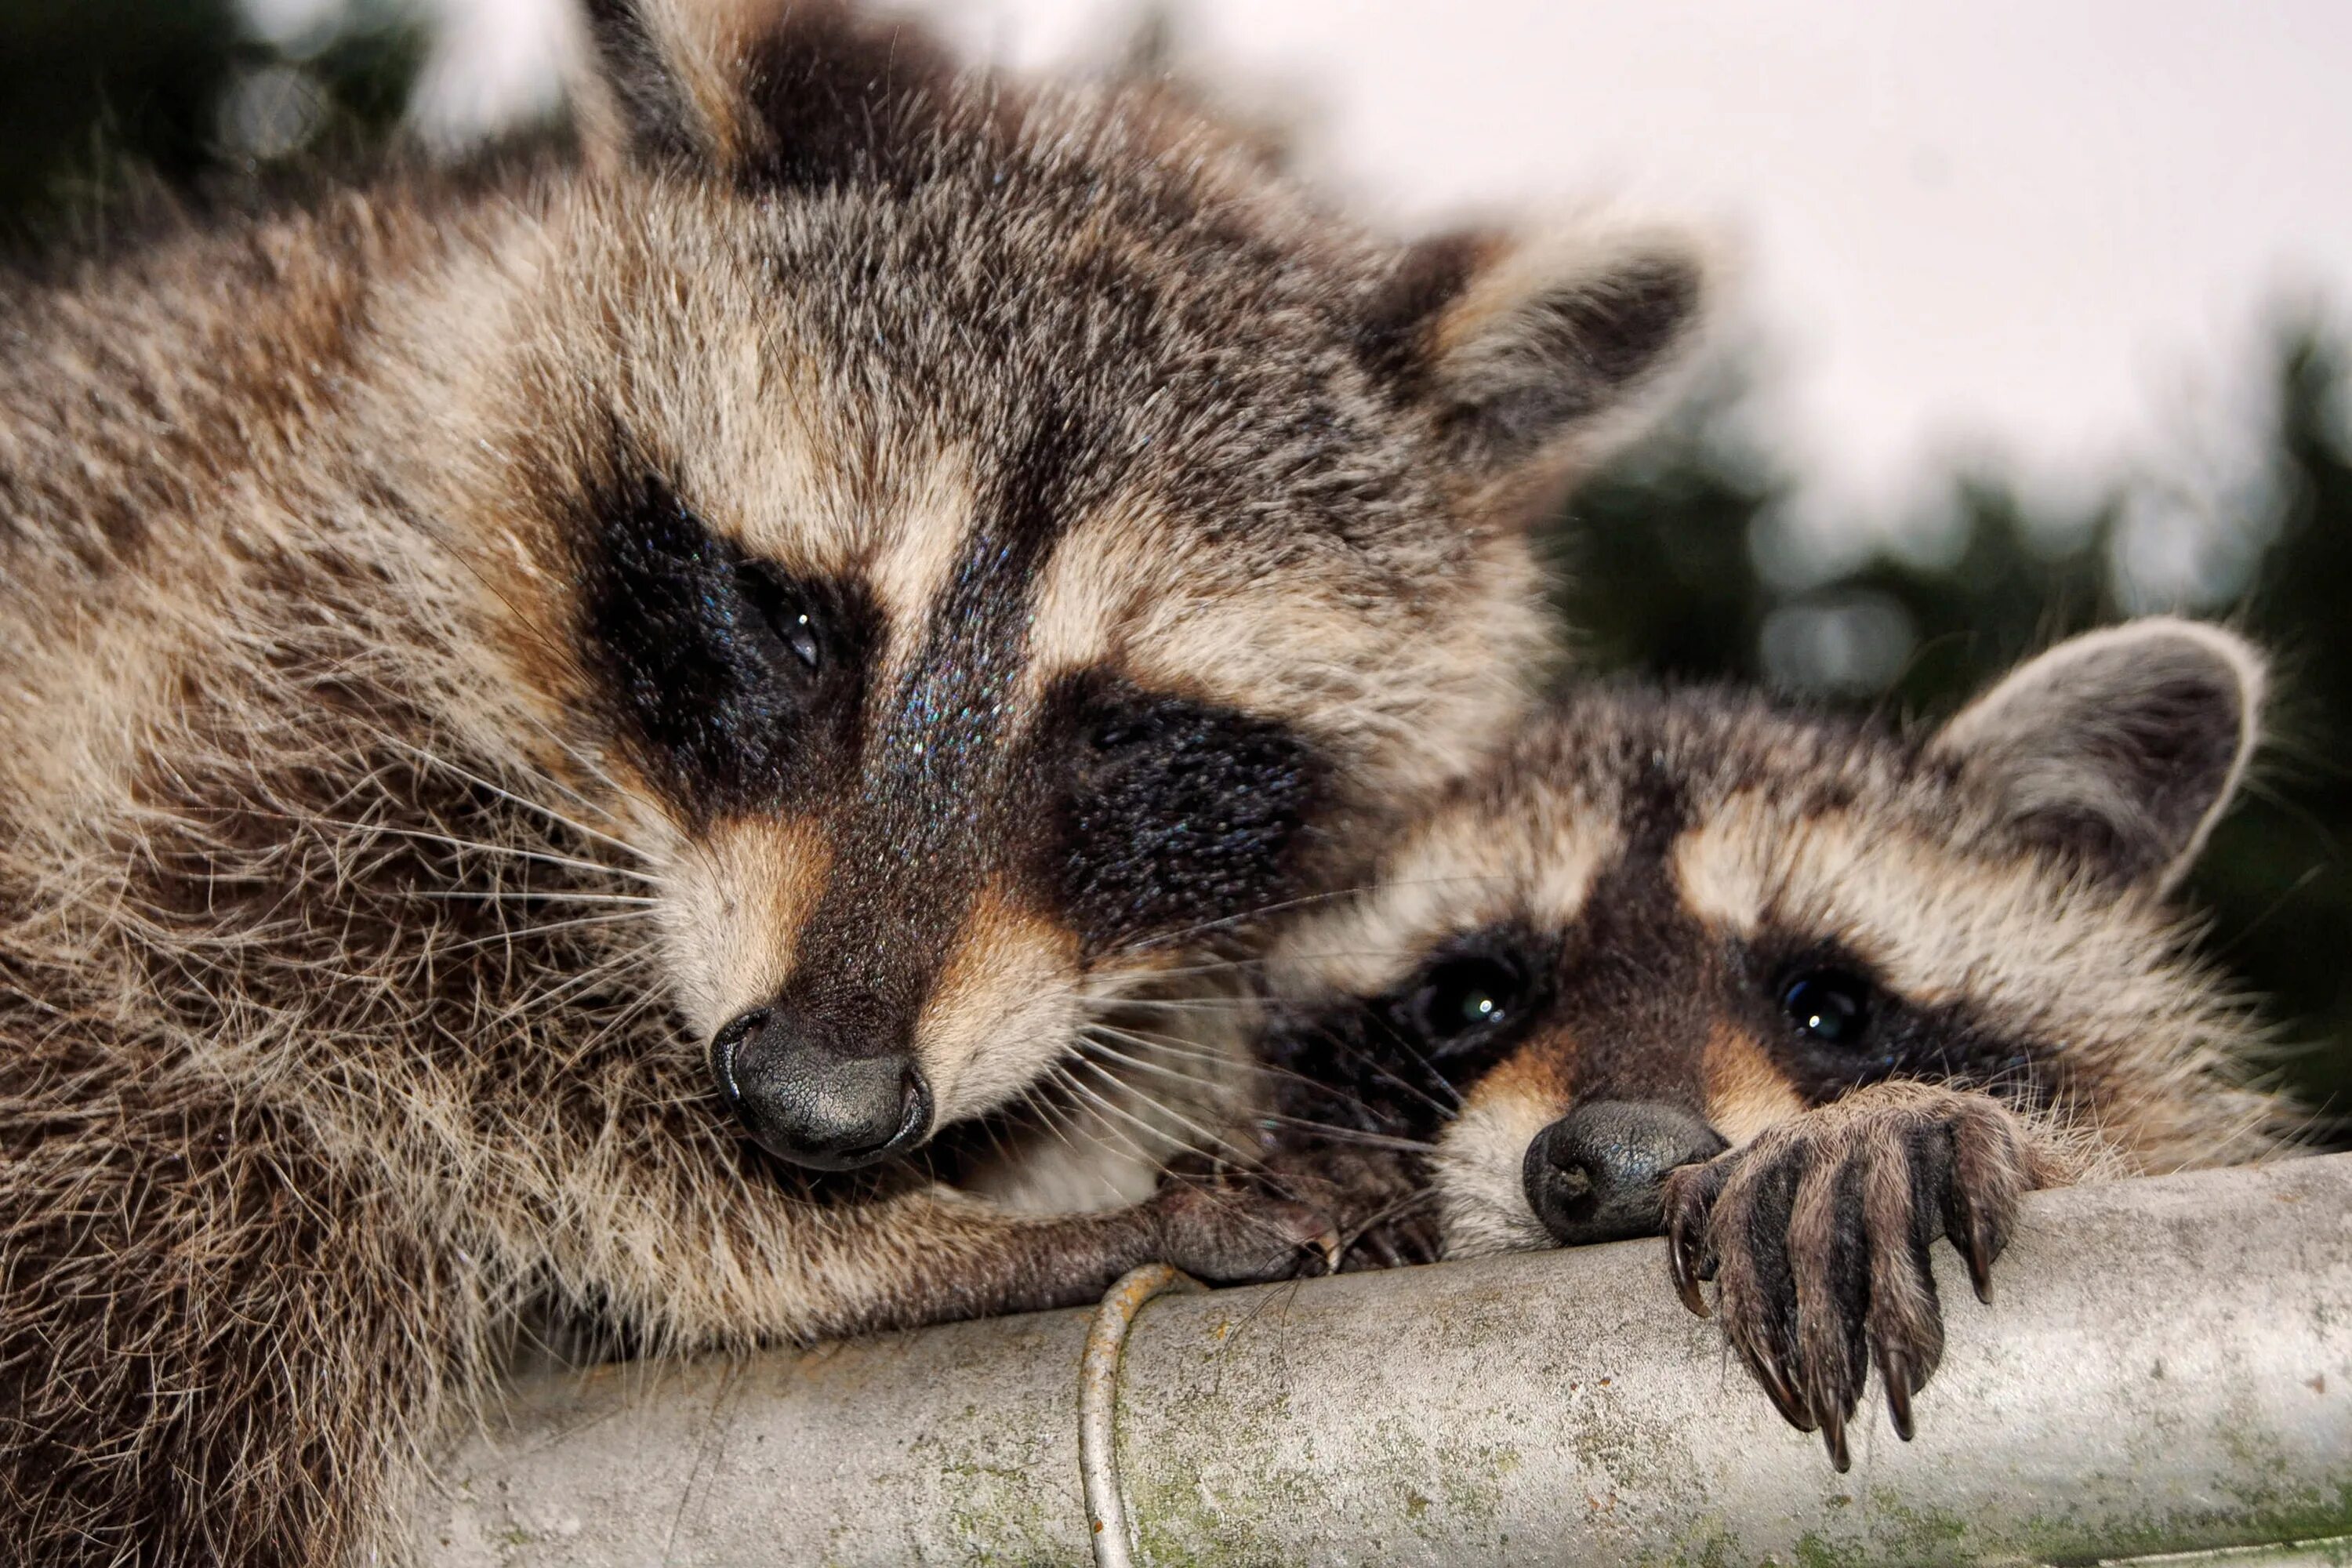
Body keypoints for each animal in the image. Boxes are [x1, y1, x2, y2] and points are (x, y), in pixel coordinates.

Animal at [0, 0, 1712, 1561]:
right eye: (795, 619)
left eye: (1126, 729)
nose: (814, 1108)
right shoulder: (259, 602)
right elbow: (332, 968)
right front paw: (910, 1246)